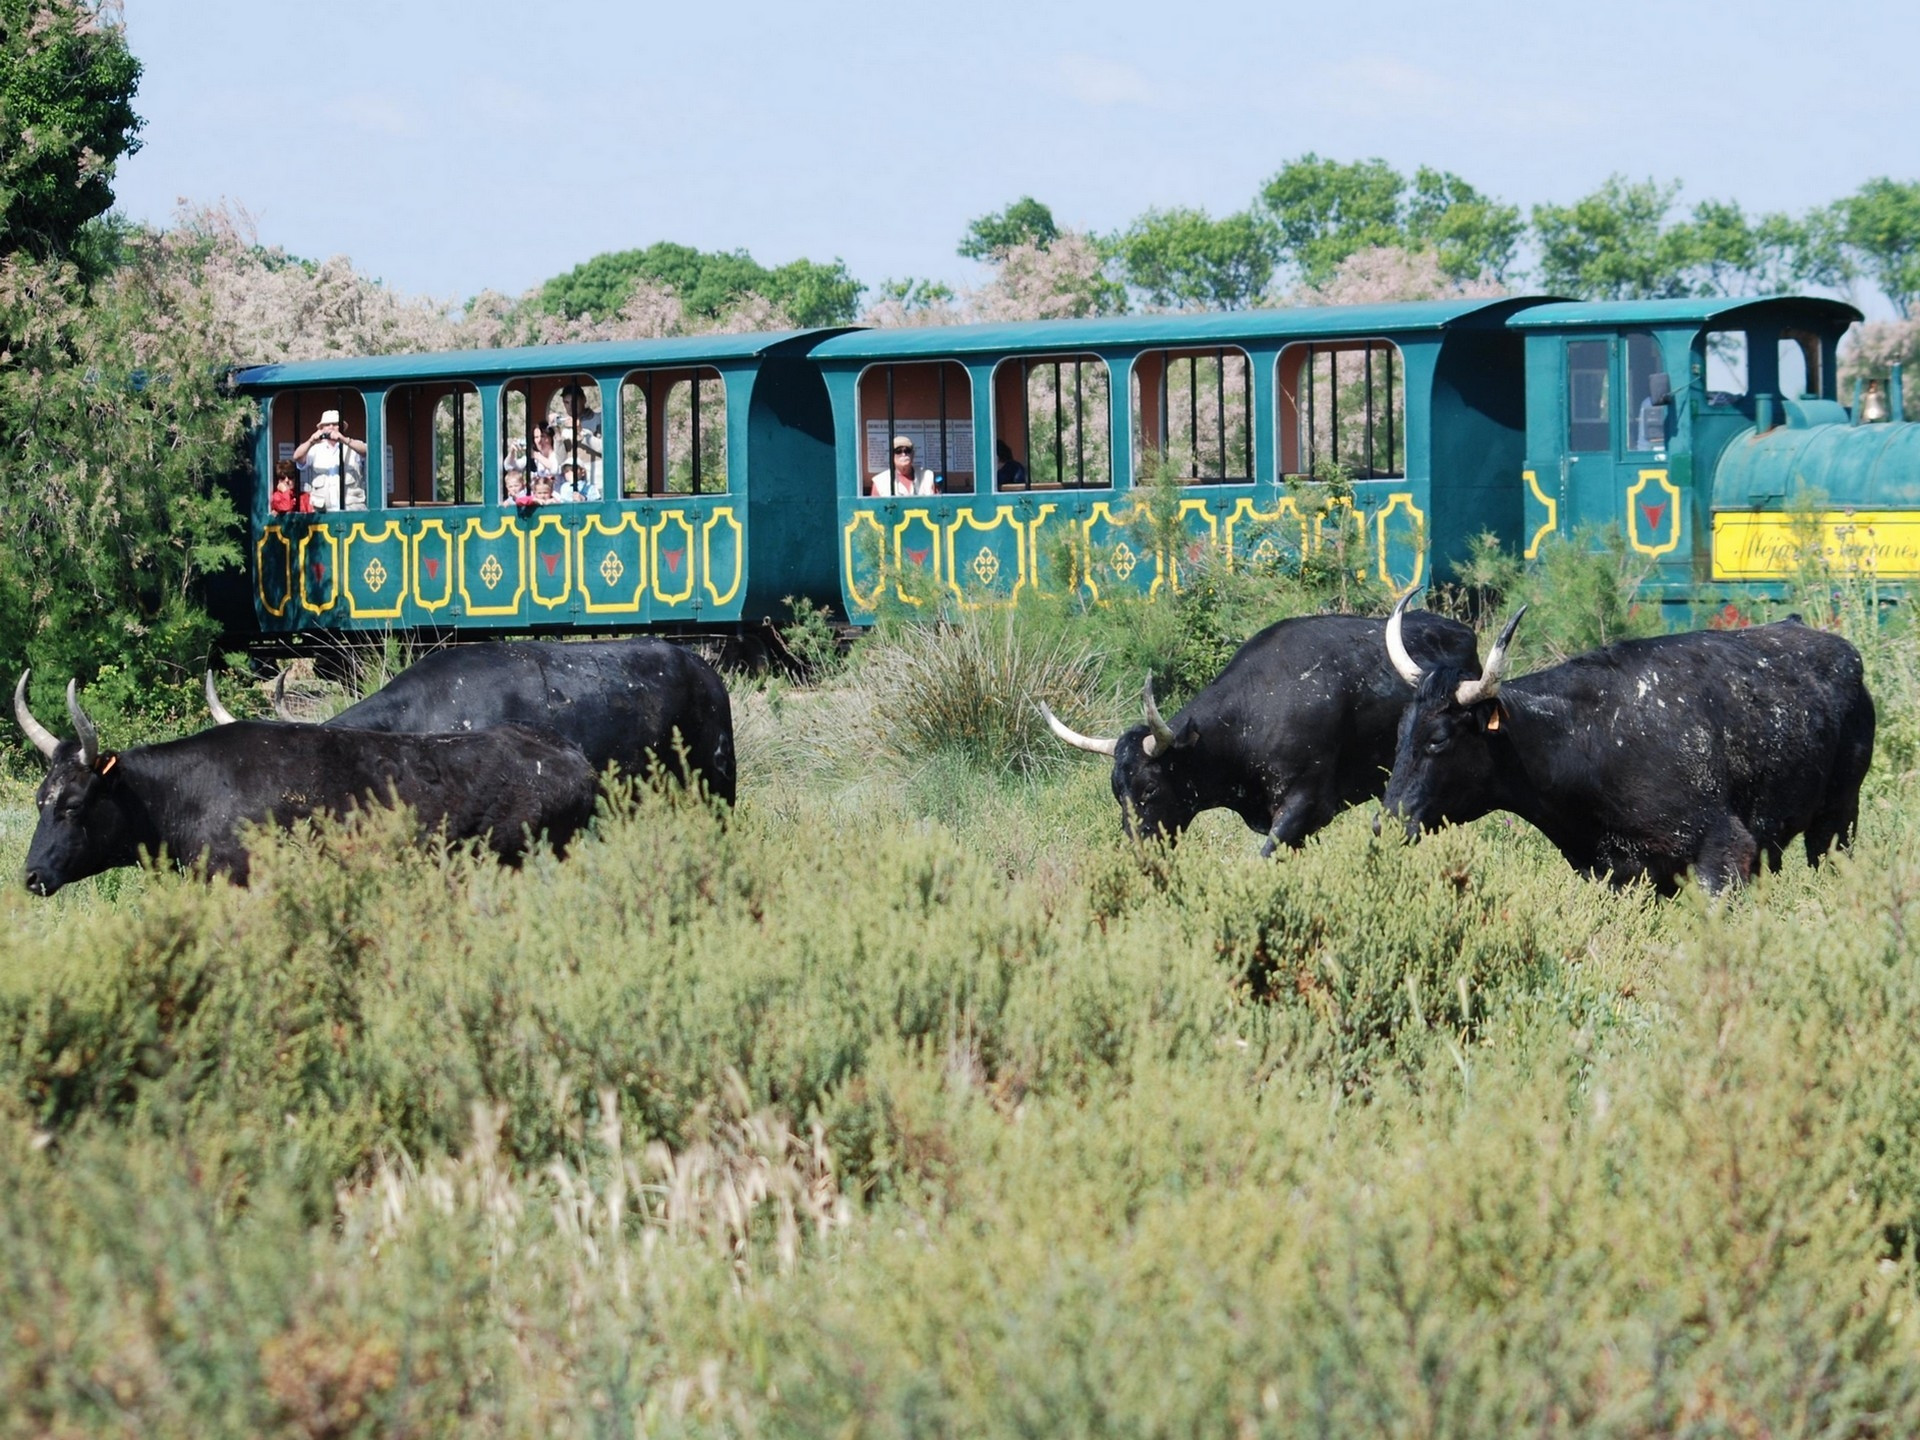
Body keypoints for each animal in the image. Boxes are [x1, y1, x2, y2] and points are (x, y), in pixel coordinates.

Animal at [1382, 599, 1873, 898]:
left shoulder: (1724, 850)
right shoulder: (1617, 875)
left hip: (1837, 819)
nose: (1384, 823)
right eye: (1400, 732)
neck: (1589, 739)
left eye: (1439, 738)